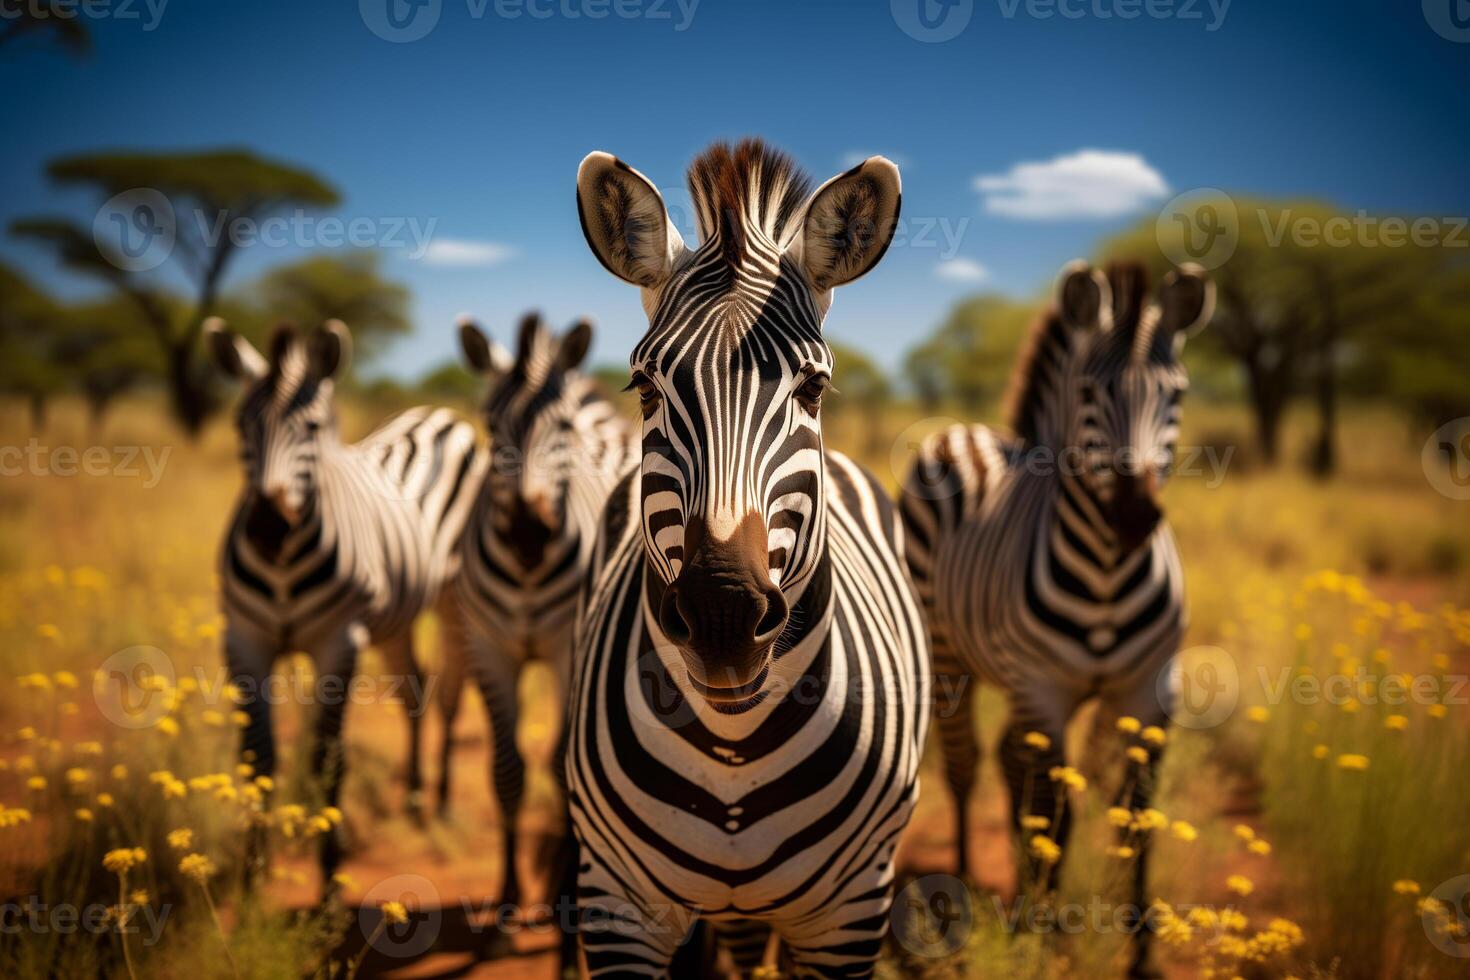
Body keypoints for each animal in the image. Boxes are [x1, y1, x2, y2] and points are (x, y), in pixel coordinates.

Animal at [205, 318, 482, 875]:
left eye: (312, 429)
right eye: (240, 426)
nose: (267, 528)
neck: (282, 563)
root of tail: (438, 413)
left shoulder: (339, 641)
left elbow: (326, 758)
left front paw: (330, 874)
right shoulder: (245, 638)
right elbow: (258, 756)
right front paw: (252, 873)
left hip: (452, 601)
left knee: (448, 694)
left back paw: (440, 804)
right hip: (396, 616)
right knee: (415, 687)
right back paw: (413, 798)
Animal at [441, 310, 637, 916]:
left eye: (564, 429)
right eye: (489, 423)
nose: (530, 534)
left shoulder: (564, 651)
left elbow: (558, 764)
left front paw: (563, 891)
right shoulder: (489, 647)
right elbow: (507, 771)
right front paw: (508, 893)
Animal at [564, 139, 929, 980]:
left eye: (814, 387)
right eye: (644, 386)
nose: (722, 616)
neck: (733, 750)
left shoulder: (850, 914)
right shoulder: (616, 905)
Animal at [899, 260, 1211, 980]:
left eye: (1177, 393)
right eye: (1090, 391)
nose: (1133, 516)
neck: (1106, 575)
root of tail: (962, 430)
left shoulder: (1149, 689)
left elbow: (1133, 816)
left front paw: (1139, 951)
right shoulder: (1043, 687)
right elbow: (1056, 814)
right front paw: (1040, 938)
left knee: (1010, 763)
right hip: (952, 657)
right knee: (967, 766)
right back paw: (964, 887)